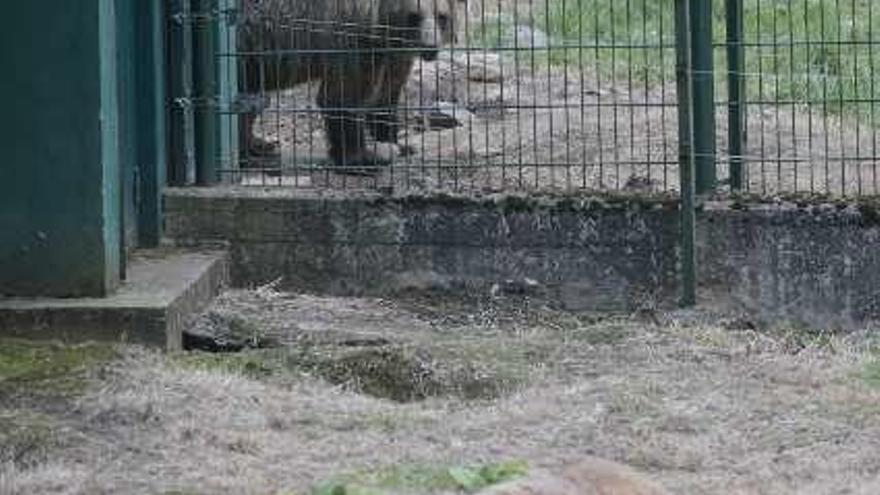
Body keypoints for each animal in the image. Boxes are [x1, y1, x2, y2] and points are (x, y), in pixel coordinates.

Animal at [237, 0, 464, 174]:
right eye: (414, 16)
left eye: (442, 16)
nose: (429, 48)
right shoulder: (351, 39)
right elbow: (343, 96)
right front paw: (361, 159)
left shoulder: (389, 55)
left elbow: (385, 98)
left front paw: (400, 144)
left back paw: (258, 146)